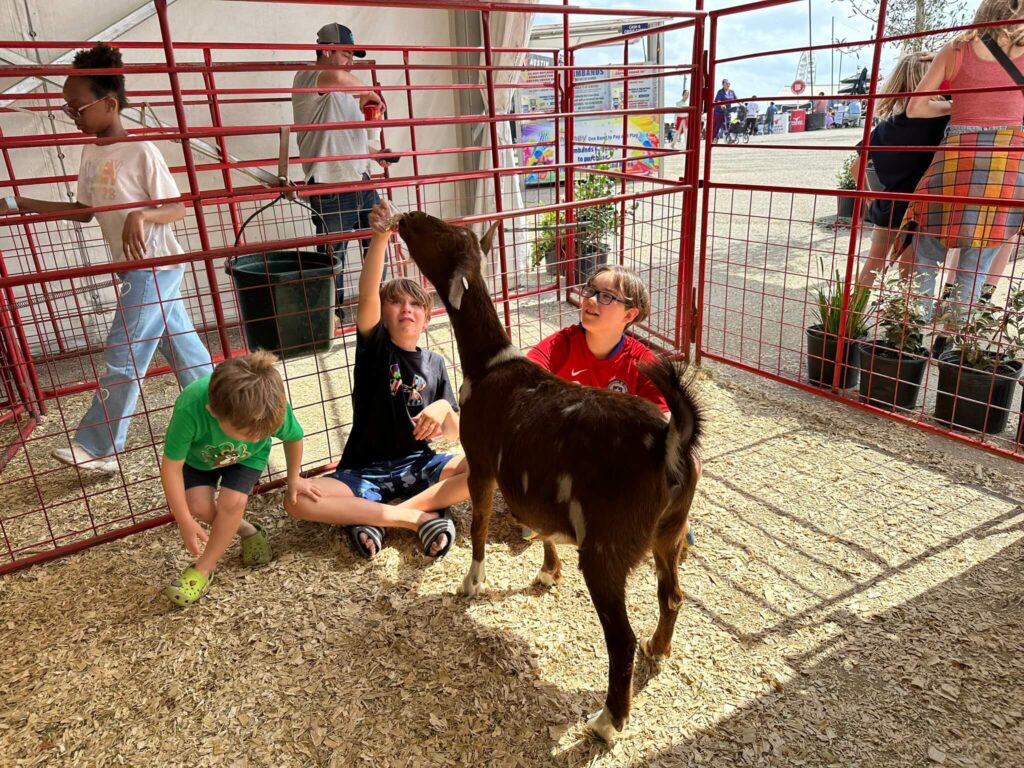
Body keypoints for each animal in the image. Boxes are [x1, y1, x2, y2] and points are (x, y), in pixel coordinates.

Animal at [393, 211, 704, 745]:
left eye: (439, 234)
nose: (406, 216)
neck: (489, 364)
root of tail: (670, 441)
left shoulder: (482, 463)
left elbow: (479, 524)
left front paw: (470, 583)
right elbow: (538, 523)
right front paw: (546, 571)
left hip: (606, 549)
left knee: (619, 639)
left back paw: (607, 721)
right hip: (670, 532)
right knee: (673, 596)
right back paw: (658, 649)